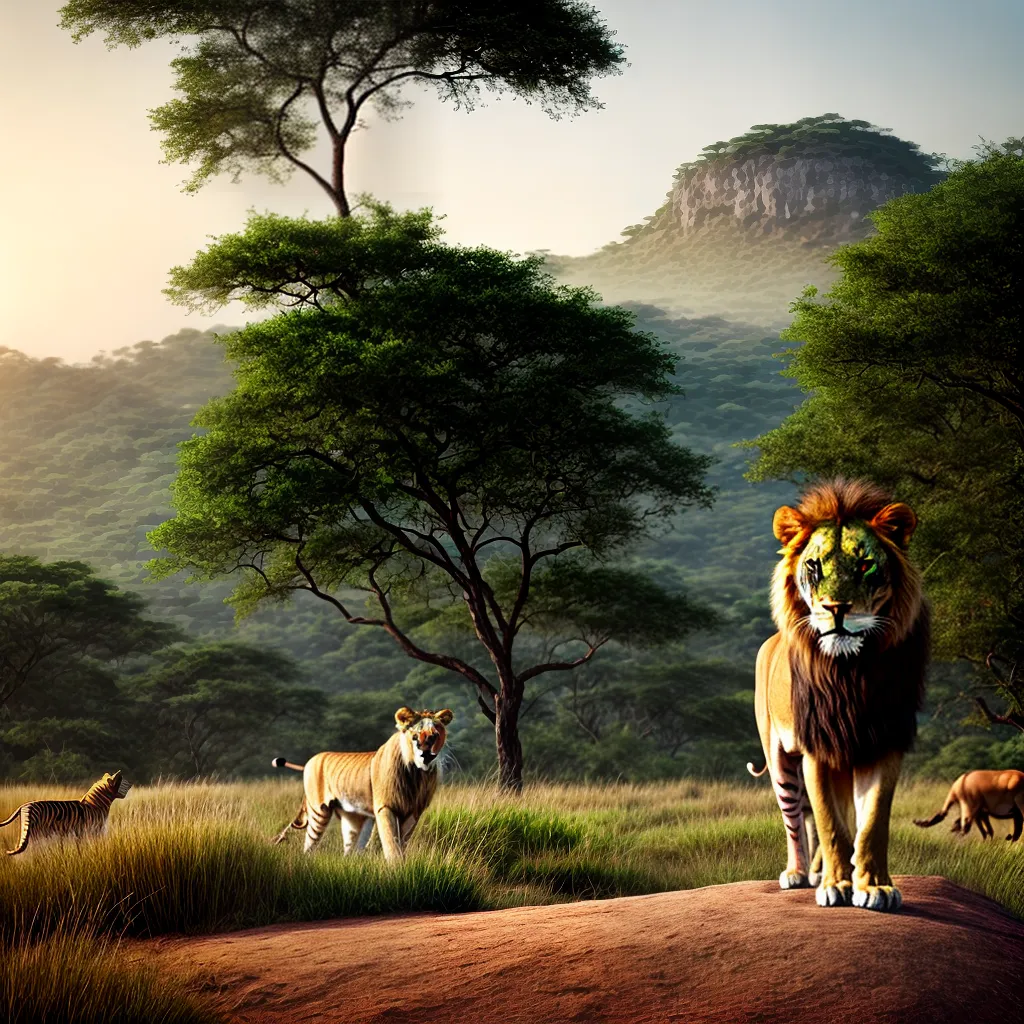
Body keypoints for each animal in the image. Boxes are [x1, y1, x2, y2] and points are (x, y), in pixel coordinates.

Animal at [0, 771, 133, 856]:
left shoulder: (83, 833)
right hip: (36, 834)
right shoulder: (95, 831)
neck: (96, 805)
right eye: (123, 783)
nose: (131, 785)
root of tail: (24, 806)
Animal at [271, 706, 453, 861]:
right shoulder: (385, 807)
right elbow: (391, 841)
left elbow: (402, 842)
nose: (427, 755)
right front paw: (397, 868)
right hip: (318, 811)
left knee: (351, 845)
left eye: (434, 736)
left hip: (353, 816)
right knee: (310, 842)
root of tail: (310, 761)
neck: (416, 773)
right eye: (415, 736)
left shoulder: (414, 811)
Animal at [749, 478, 929, 912]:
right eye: (814, 566)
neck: (851, 673)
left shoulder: (883, 741)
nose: (837, 609)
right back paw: (799, 873)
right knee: (795, 818)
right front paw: (836, 886)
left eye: (866, 565)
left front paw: (876, 888)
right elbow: (831, 824)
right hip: (780, 759)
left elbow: (871, 824)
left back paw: (817, 872)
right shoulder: (818, 747)